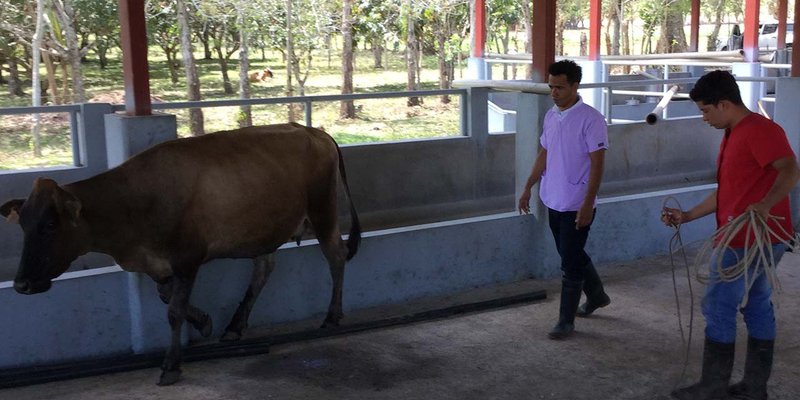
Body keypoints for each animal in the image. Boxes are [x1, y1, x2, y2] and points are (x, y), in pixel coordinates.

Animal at [0, 122, 362, 384]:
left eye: (50, 225)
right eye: (24, 225)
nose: (21, 284)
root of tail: (314, 131)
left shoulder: (188, 258)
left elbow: (174, 310)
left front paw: (171, 365)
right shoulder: (158, 264)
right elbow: (168, 297)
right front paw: (204, 322)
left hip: (323, 211)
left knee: (335, 255)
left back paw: (332, 316)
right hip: (264, 228)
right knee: (263, 269)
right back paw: (235, 326)